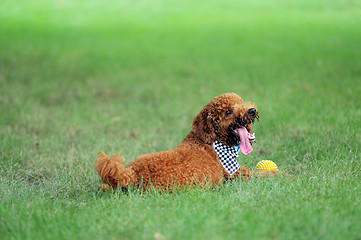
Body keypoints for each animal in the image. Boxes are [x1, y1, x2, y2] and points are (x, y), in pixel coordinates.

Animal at [95, 92, 258, 191]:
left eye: (241, 102)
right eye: (228, 112)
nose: (252, 111)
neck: (212, 141)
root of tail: (132, 174)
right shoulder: (235, 174)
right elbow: (259, 174)